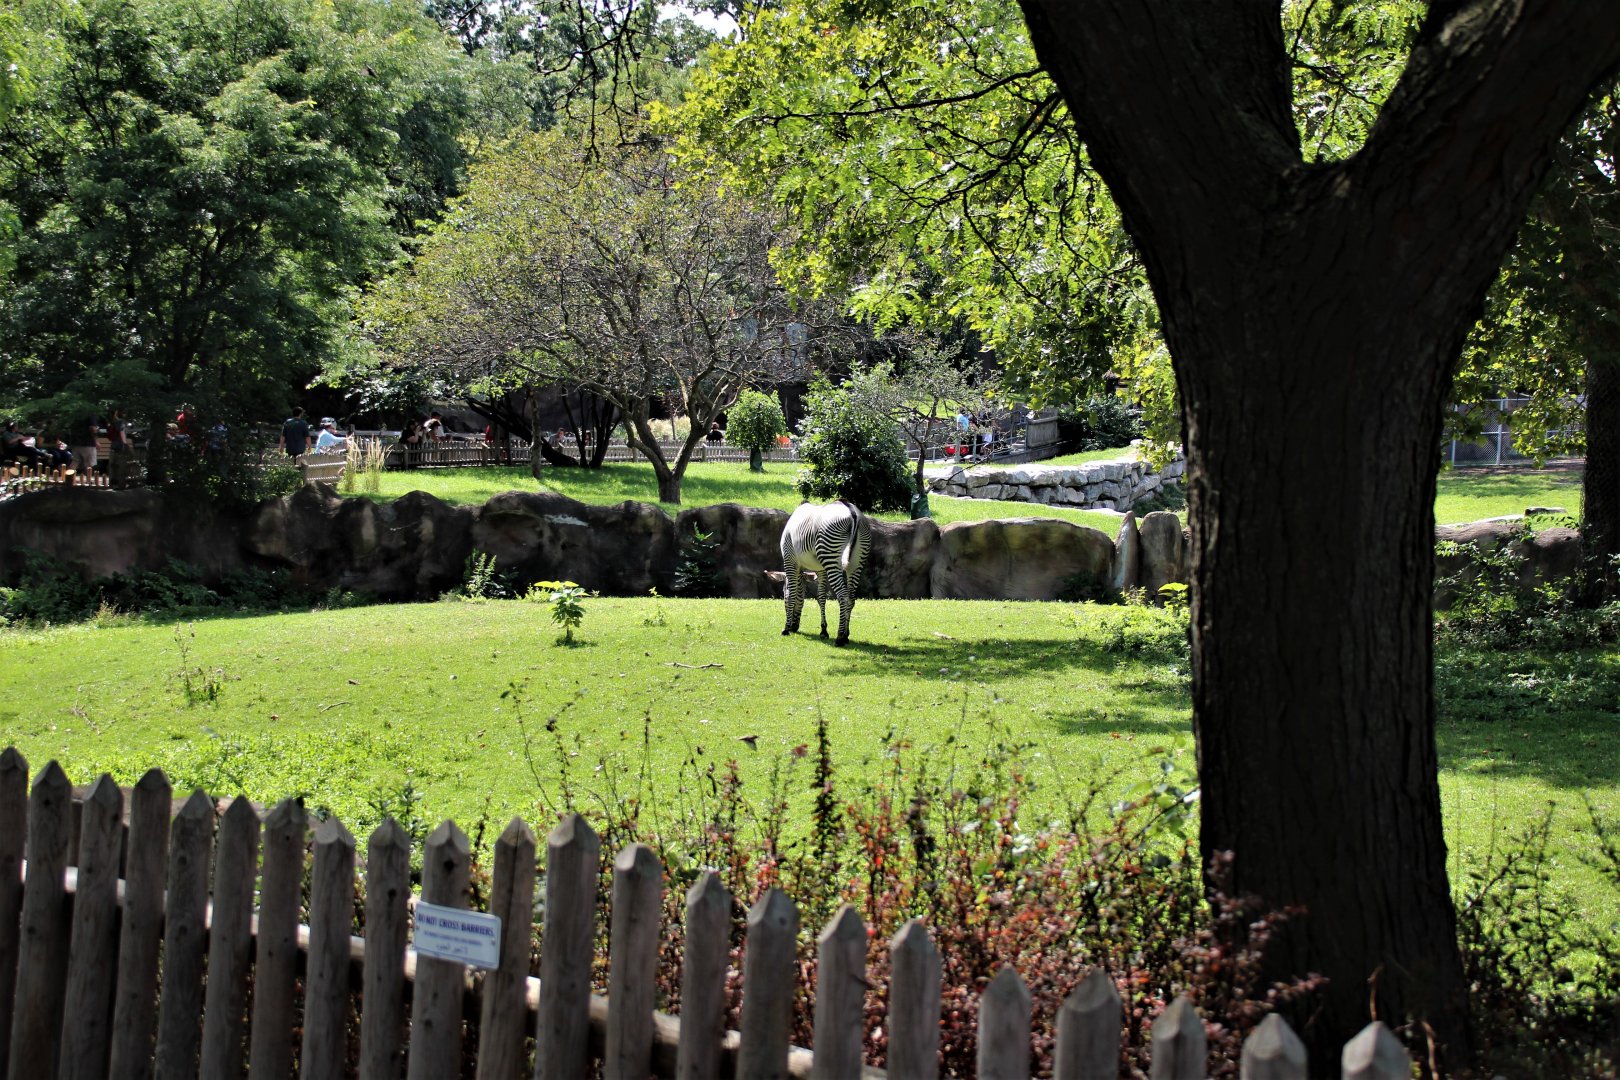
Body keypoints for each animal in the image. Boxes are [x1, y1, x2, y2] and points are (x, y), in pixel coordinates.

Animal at [765, 500, 872, 646]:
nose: (794, 627)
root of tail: (851, 511)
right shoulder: (820, 569)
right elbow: (821, 597)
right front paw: (823, 631)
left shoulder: (790, 560)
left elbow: (792, 594)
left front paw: (786, 628)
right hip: (856, 562)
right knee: (851, 598)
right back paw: (846, 635)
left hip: (831, 556)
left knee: (843, 596)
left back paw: (840, 637)